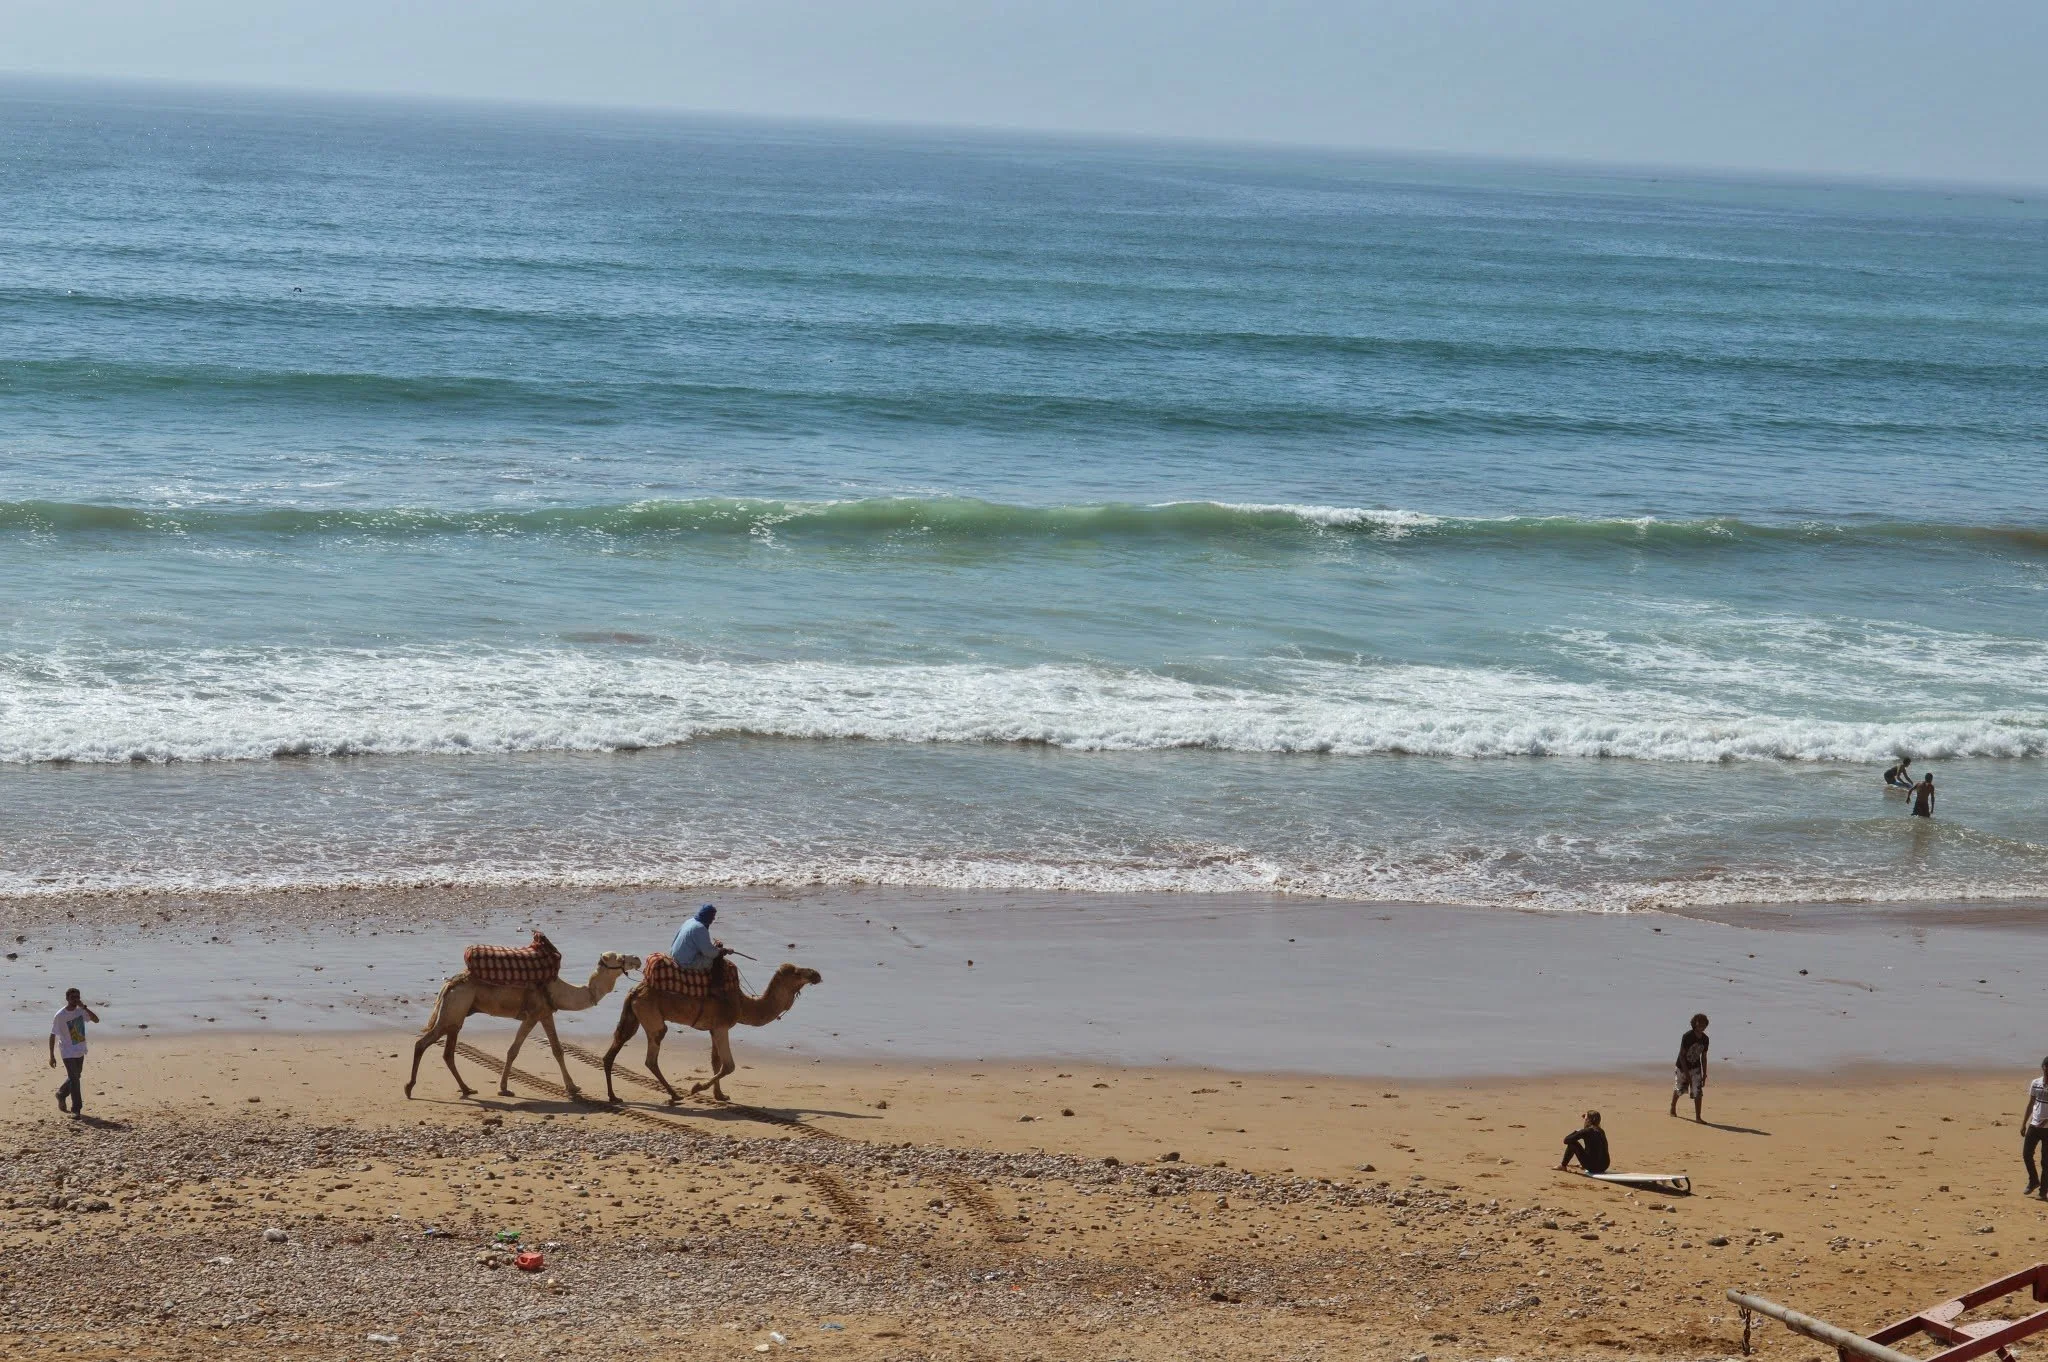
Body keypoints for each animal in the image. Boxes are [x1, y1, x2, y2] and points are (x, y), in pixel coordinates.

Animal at [405, 952, 642, 1101]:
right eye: (620, 957)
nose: (638, 959)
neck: (558, 990)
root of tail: (449, 984)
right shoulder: (533, 1014)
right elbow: (513, 1050)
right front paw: (504, 1089)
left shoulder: (546, 1014)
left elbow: (557, 1050)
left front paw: (572, 1087)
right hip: (454, 1010)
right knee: (422, 1043)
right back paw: (409, 1088)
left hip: (456, 1014)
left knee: (447, 1052)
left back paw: (467, 1089)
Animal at [601, 962, 822, 1104]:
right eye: (797, 972)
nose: (816, 974)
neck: (743, 1004)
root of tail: (634, 991)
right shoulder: (722, 1027)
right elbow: (729, 1066)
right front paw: (697, 1087)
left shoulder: (713, 1029)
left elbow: (716, 1062)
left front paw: (720, 1096)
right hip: (652, 1017)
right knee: (651, 1056)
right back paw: (675, 1095)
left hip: (634, 1016)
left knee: (615, 1048)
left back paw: (614, 1097)